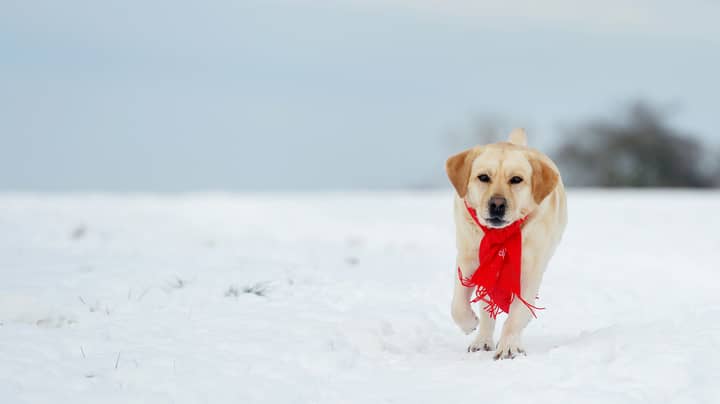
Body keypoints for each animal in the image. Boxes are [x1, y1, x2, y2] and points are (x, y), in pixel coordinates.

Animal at [444, 128, 568, 358]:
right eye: (483, 177)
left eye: (516, 179)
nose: (497, 204)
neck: (499, 236)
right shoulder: (468, 260)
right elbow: (457, 305)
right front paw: (469, 323)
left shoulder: (528, 272)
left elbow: (517, 315)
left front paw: (509, 346)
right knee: (486, 311)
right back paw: (482, 340)